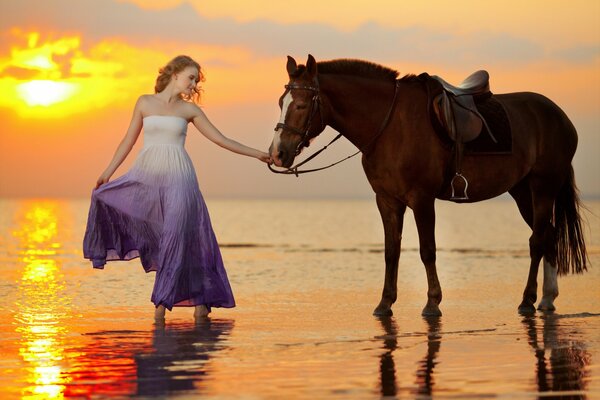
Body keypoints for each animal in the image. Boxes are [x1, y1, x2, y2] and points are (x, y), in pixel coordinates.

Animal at [268, 54, 584, 316]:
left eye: (301, 104)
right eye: (281, 102)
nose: (278, 153)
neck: (390, 125)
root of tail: (560, 116)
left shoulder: (421, 199)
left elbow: (427, 250)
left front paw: (433, 302)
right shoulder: (387, 200)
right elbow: (391, 251)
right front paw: (385, 303)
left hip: (543, 188)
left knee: (537, 240)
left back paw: (528, 299)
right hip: (521, 191)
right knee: (549, 235)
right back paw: (547, 298)